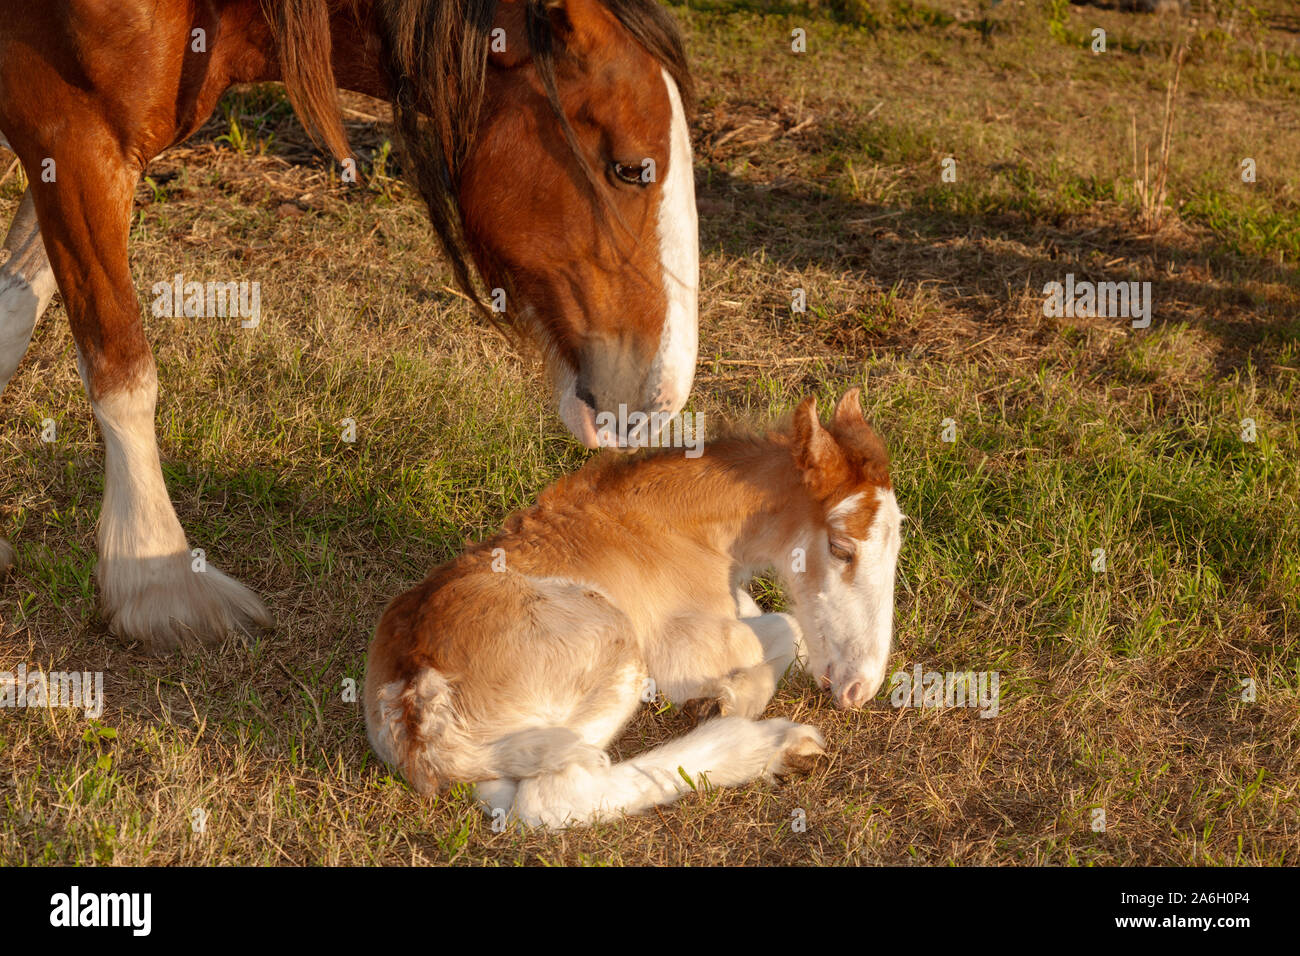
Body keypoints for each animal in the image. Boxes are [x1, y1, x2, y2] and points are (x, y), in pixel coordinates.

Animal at [0, 0, 702, 650]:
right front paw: (159, 577)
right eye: (630, 168)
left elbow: (15, 305)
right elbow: (122, 366)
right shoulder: (73, 133)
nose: (661, 402)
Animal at [366, 390, 904, 832]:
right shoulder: (681, 648)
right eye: (840, 548)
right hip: (613, 641)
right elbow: (785, 626)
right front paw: (729, 699)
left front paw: (728, 695)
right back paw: (775, 745)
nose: (860, 687)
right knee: (550, 797)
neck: (683, 530)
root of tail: (411, 703)